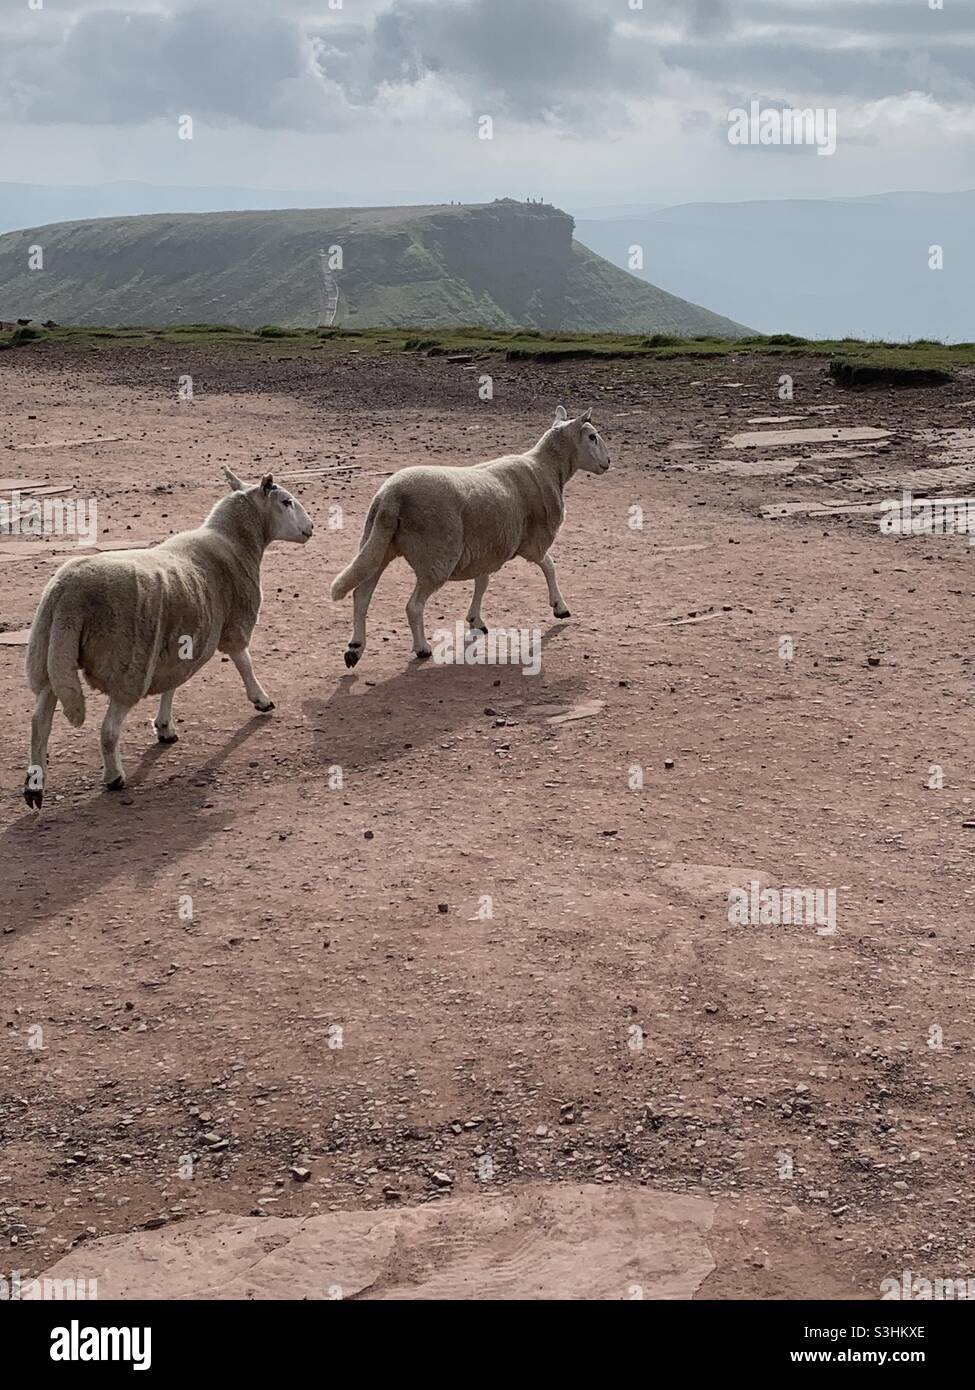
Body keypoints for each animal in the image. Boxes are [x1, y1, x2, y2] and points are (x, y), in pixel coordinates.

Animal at [23, 469, 313, 808]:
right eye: (286, 501)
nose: (311, 528)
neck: (235, 542)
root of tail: (67, 595)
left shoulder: (179, 637)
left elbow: (171, 685)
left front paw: (164, 727)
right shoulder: (233, 623)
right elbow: (245, 662)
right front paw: (262, 699)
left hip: (51, 651)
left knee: (39, 722)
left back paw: (34, 785)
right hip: (126, 664)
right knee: (108, 730)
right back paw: (114, 777)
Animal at [330, 405, 610, 667]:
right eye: (592, 437)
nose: (608, 462)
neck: (548, 468)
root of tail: (391, 497)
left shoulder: (487, 545)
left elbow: (482, 582)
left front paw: (476, 620)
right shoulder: (532, 541)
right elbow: (549, 566)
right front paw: (560, 607)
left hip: (379, 543)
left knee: (361, 595)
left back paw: (355, 648)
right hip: (436, 557)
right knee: (413, 606)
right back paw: (422, 648)